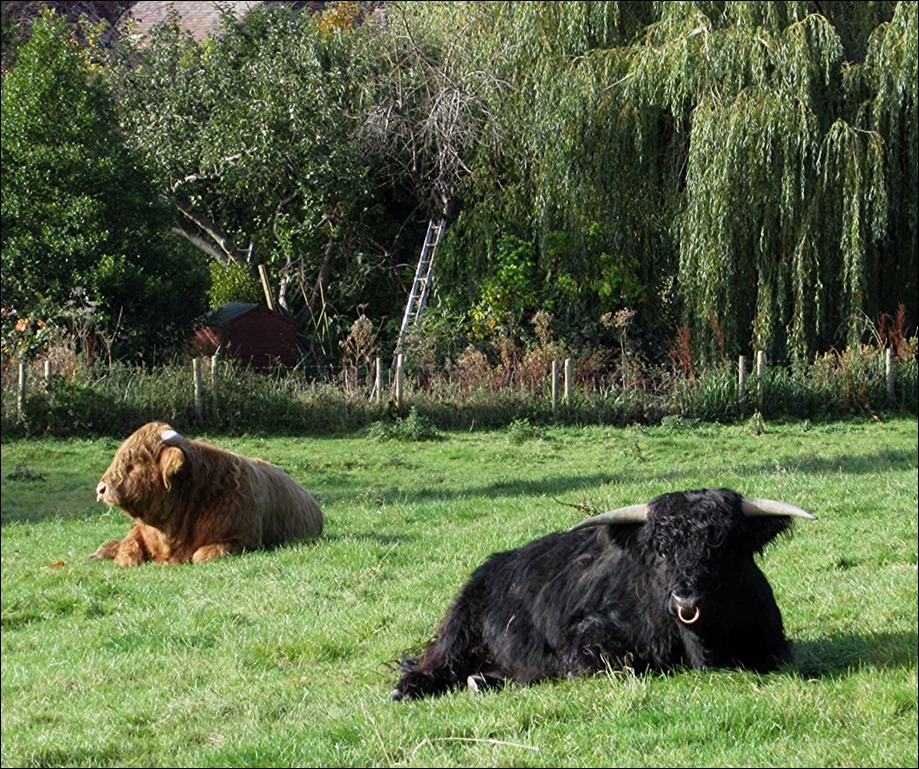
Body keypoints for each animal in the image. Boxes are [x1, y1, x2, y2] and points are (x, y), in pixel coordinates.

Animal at [89, 421, 323, 566]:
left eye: (137, 461)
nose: (101, 489)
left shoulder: (244, 540)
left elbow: (200, 555)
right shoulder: (140, 531)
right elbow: (128, 550)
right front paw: (107, 550)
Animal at [391, 487, 815, 700]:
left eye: (722, 544)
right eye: (659, 548)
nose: (686, 600)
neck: (701, 646)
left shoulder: (773, 646)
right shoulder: (585, 634)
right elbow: (617, 664)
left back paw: (481, 681)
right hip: (460, 623)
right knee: (437, 660)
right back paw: (408, 689)